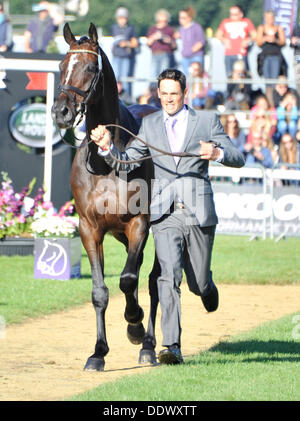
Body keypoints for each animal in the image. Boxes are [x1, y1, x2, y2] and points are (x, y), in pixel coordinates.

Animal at [50, 23, 161, 370]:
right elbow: (100, 291)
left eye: (89, 68)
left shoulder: (139, 224)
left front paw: (135, 325)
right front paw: (98, 352)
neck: (106, 162)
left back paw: (148, 344)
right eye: (61, 65)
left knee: (154, 280)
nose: (61, 111)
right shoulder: (90, 229)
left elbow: (128, 279)